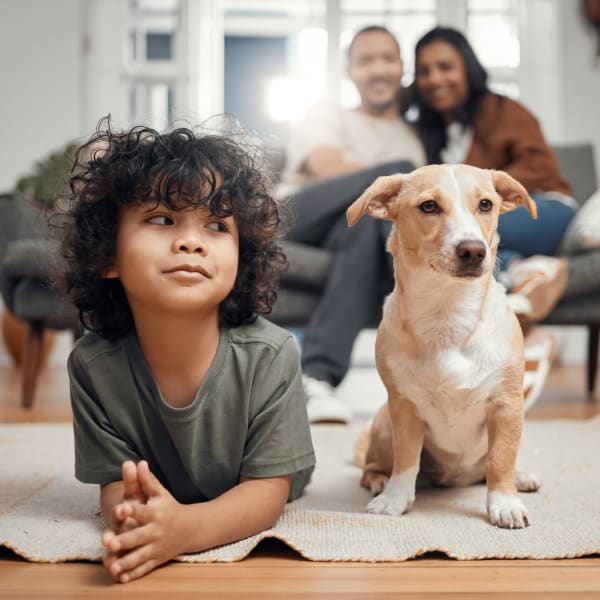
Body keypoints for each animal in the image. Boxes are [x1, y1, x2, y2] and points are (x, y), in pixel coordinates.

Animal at [346, 164, 540, 528]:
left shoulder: (507, 406)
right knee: (371, 467)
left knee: (492, 466)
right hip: (383, 425)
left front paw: (505, 502)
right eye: (429, 206)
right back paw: (380, 481)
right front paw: (395, 499)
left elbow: (501, 459)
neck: (447, 313)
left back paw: (521, 477)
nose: (473, 250)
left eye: (485, 204)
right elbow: (407, 460)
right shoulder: (403, 407)